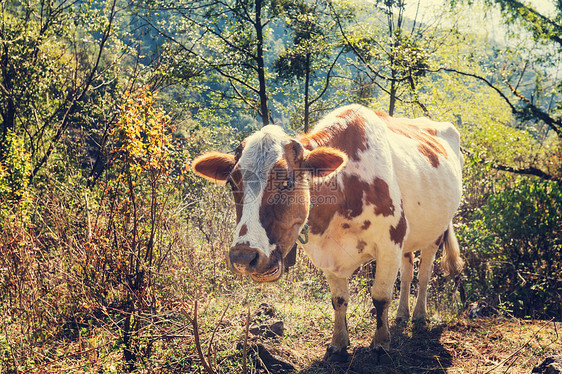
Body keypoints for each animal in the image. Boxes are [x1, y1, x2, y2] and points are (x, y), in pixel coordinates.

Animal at [190, 103, 462, 360]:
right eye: (232, 182)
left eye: (286, 181)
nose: (243, 257)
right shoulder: (328, 253)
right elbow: (339, 300)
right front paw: (338, 344)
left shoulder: (389, 243)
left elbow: (381, 296)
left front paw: (381, 344)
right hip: (410, 236)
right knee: (407, 272)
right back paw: (403, 314)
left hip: (436, 232)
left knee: (423, 274)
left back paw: (418, 315)